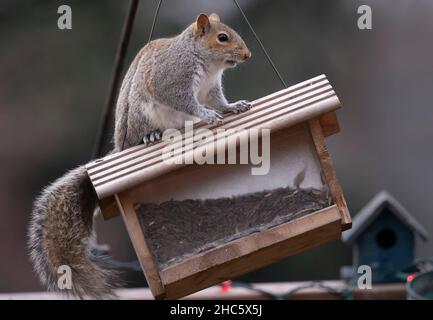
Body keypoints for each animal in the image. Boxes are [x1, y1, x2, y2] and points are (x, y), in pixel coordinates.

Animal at [27, 11, 250, 298]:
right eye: (222, 37)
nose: (247, 55)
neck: (206, 63)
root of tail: (121, 147)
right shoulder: (171, 79)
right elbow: (185, 102)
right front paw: (207, 115)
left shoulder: (211, 88)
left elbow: (219, 101)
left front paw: (233, 107)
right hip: (141, 116)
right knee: (143, 132)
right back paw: (151, 136)